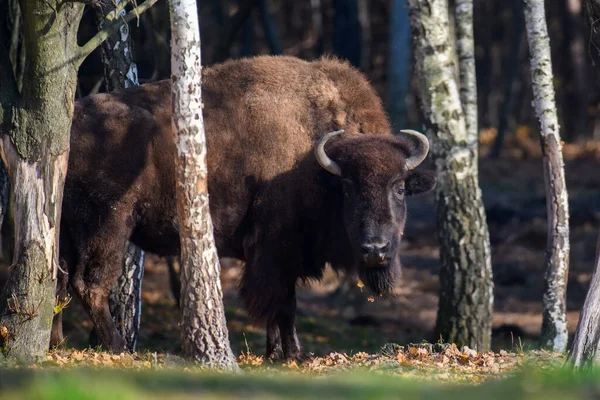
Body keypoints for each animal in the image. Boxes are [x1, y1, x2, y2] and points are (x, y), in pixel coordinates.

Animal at [52, 55, 436, 360]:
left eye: (399, 187)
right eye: (347, 188)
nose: (375, 250)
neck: (315, 163)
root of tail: (68, 129)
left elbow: (279, 305)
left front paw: (275, 352)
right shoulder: (274, 250)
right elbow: (283, 303)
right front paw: (292, 354)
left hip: (66, 229)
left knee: (59, 280)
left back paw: (57, 344)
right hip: (107, 225)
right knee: (90, 284)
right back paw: (119, 349)